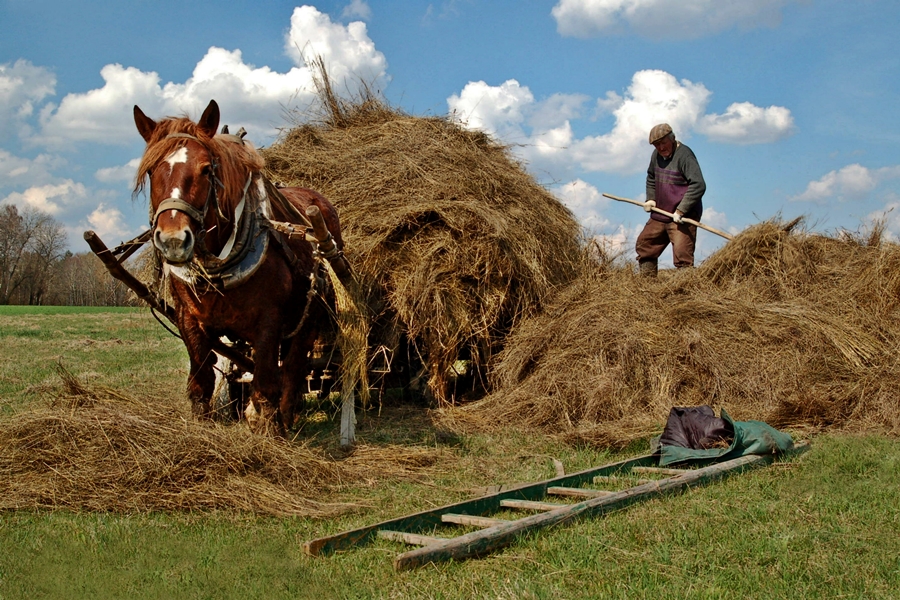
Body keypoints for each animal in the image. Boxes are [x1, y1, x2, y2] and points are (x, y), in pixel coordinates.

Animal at [134, 98, 344, 436]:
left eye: (206, 169)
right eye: (152, 171)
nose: (173, 239)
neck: (219, 268)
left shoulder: (269, 322)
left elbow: (267, 385)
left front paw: (268, 430)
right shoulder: (188, 319)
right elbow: (201, 382)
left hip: (310, 314)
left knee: (294, 368)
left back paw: (286, 417)